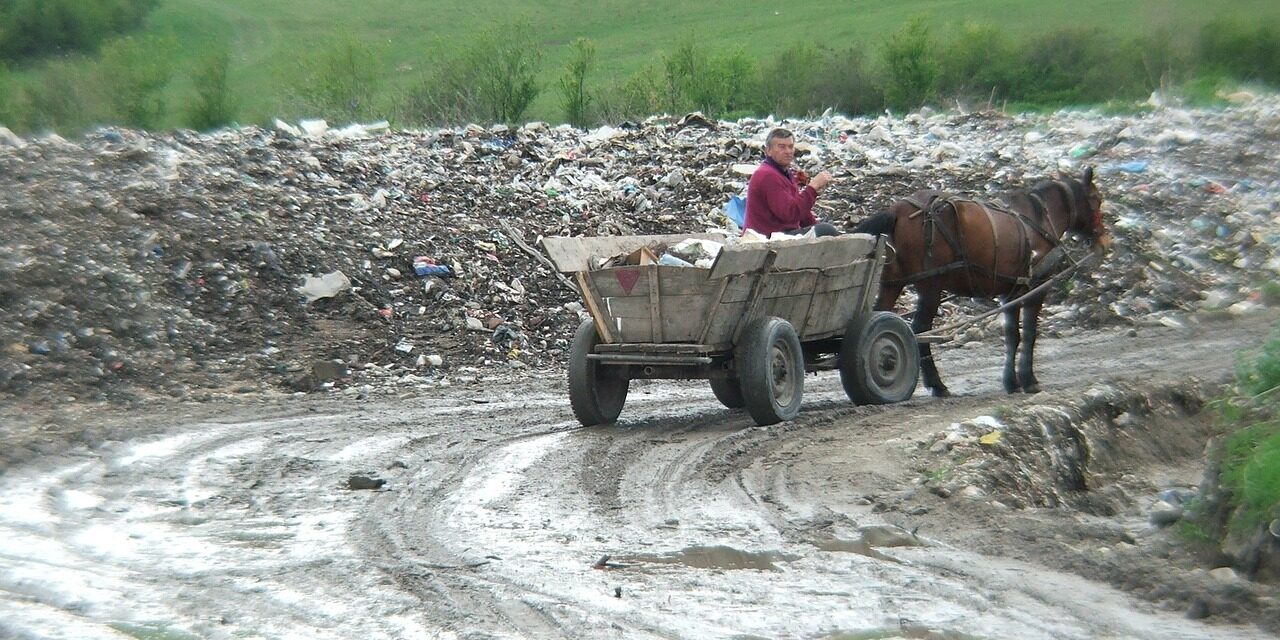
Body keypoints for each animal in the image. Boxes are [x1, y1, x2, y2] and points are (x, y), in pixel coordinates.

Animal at [855, 166, 1116, 394]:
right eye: (1097, 199)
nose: (1104, 242)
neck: (1041, 218)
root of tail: (898, 210)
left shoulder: (1010, 292)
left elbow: (1012, 335)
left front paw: (1011, 382)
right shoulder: (1037, 287)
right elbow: (1029, 334)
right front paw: (1029, 380)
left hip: (892, 283)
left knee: (879, 317)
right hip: (931, 286)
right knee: (919, 329)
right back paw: (936, 384)